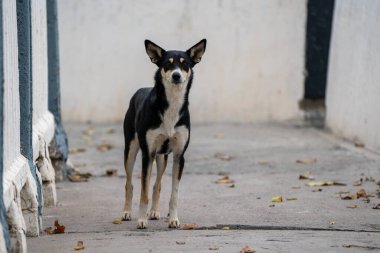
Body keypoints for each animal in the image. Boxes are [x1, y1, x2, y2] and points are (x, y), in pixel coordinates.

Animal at [122, 38, 206, 228]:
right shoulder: (147, 154)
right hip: (131, 151)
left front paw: (173, 219)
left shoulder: (179, 155)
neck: (171, 105)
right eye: (167, 64)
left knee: (157, 185)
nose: (176, 75)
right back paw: (127, 212)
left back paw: (154, 212)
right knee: (129, 184)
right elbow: (143, 192)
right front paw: (141, 219)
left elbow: (173, 193)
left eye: (185, 64)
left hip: (162, 158)